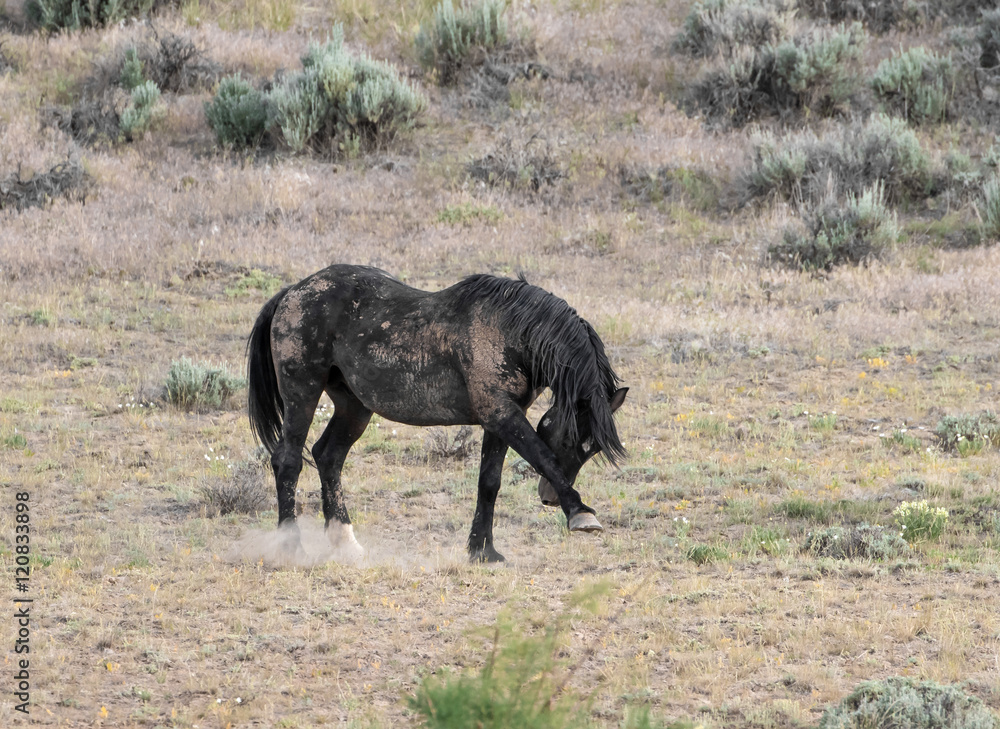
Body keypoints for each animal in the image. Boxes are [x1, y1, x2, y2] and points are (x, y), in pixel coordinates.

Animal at [246, 264, 628, 563]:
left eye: (592, 448)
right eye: (569, 436)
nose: (548, 498)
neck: (511, 332)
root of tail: (292, 292)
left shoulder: (498, 420)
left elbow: (489, 482)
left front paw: (483, 552)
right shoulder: (502, 414)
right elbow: (542, 457)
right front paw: (581, 513)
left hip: (354, 408)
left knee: (328, 457)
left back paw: (347, 544)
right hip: (302, 394)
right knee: (288, 461)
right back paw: (291, 547)